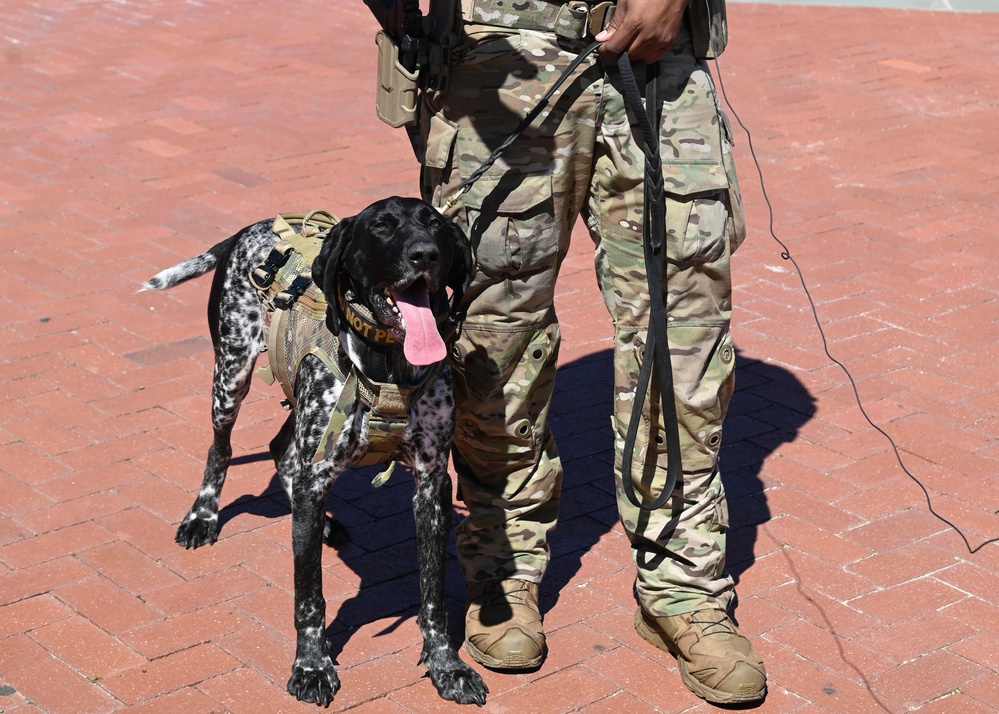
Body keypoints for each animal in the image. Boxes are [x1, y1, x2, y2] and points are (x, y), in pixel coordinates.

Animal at [144, 197, 488, 704]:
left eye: (437, 225)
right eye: (381, 226)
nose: (424, 254)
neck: (387, 365)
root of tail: (250, 228)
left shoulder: (431, 488)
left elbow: (433, 595)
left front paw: (447, 666)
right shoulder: (318, 470)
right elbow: (309, 595)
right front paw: (311, 666)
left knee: (282, 450)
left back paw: (315, 519)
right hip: (230, 378)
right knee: (220, 449)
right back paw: (202, 516)